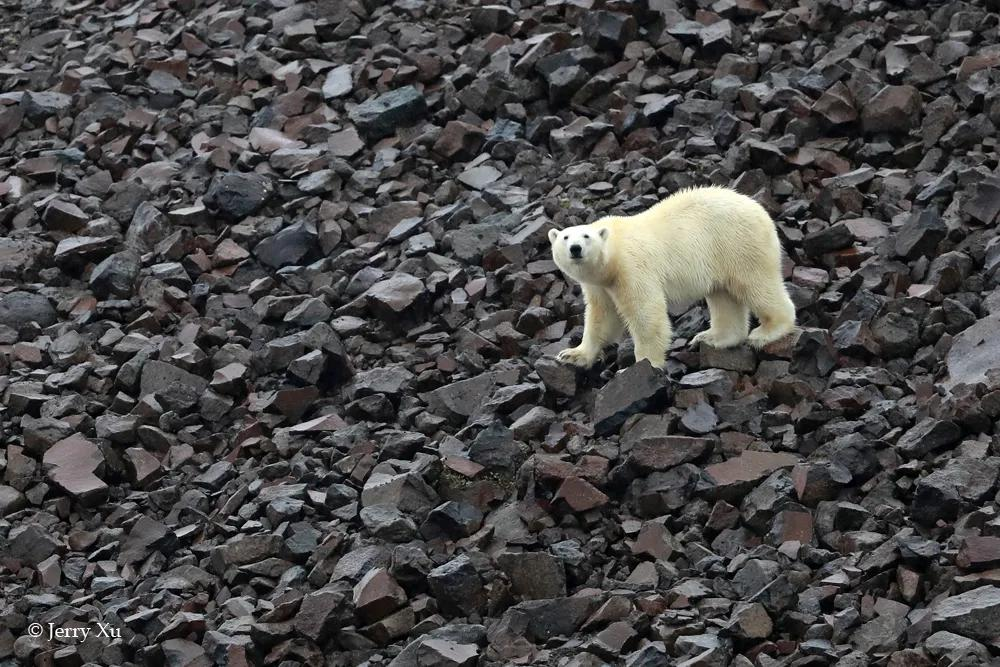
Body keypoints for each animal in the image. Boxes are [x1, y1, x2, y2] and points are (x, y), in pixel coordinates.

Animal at [548, 185, 796, 368]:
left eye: (586, 236)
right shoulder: (599, 284)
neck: (613, 252)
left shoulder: (632, 267)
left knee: (756, 284)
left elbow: (646, 313)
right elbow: (602, 317)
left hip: (739, 244)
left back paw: (766, 332)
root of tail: (759, 209)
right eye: (566, 237)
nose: (575, 249)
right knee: (723, 296)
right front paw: (571, 355)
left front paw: (643, 364)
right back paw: (712, 337)